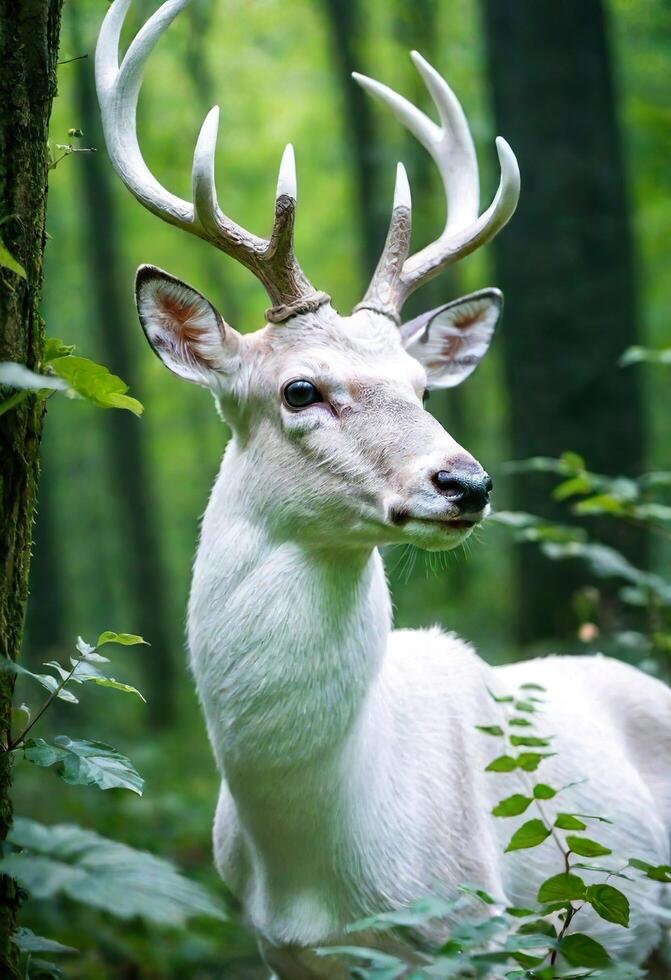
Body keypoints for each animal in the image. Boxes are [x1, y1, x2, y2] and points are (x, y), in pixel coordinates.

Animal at [97, 3, 671, 976]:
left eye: (423, 387)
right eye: (299, 389)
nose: (466, 482)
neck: (316, 858)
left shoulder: (482, 934)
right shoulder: (276, 949)